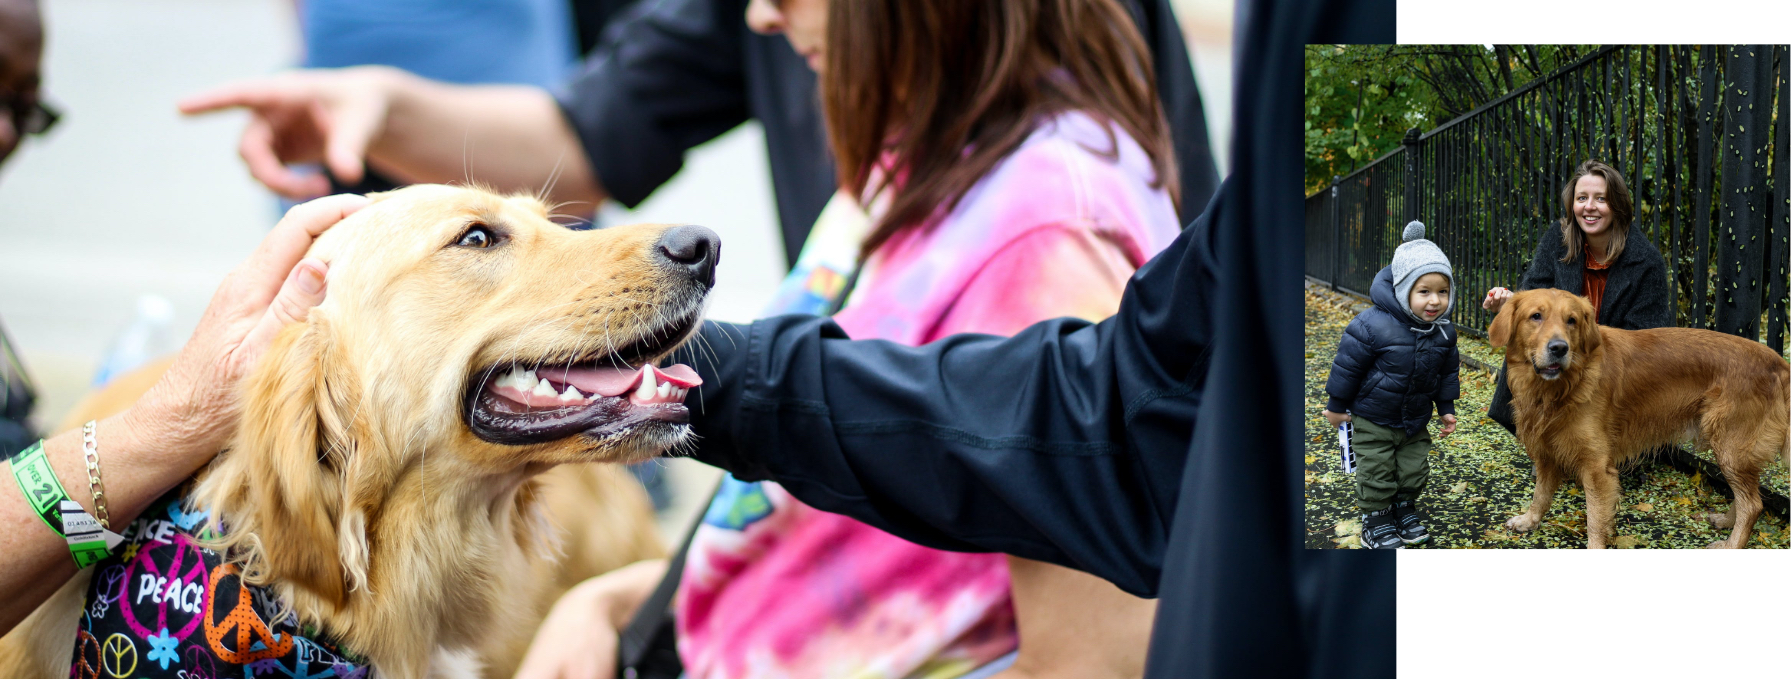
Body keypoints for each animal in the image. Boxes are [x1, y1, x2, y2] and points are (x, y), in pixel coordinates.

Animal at [1482, 286, 1791, 547]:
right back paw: (1727, 521)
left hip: (1729, 446)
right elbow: (1541, 494)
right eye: (1536, 316)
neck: (1560, 389)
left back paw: (1731, 545)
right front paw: (1530, 519)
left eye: (1571, 320)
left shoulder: (1597, 468)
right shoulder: (1547, 450)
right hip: (1735, 452)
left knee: (1753, 505)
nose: (1559, 348)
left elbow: (1595, 521)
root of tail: (1777, 360)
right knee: (1750, 496)